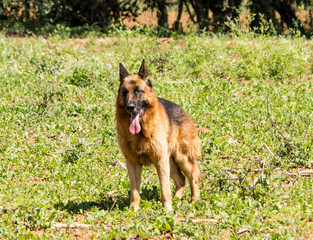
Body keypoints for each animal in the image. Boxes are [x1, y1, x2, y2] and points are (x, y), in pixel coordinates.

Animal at [116, 59, 201, 211]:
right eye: (125, 92)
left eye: (138, 91)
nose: (130, 107)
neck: (141, 134)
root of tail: (184, 110)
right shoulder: (132, 164)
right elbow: (135, 191)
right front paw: (133, 209)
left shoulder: (160, 161)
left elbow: (164, 188)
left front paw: (167, 210)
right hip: (171, 162)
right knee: (181, 180)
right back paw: (177, 199)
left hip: (182, 158)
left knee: (194, 176)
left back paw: (193, 201)